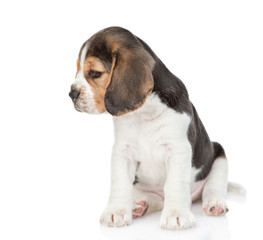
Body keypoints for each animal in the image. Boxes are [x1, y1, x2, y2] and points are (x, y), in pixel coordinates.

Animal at [69, 26, 229, 231]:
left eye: (95, 73)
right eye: (77, 70)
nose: (71, 94)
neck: (143, 112)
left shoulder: (178, 150)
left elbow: (174, 184)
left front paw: (176, 215)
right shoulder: (122, 152)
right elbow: (119, 182)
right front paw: (116, 212)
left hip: (218, 155)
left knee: (213, 186)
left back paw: (215, 204)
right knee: (154, 198)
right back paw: (139, 206)